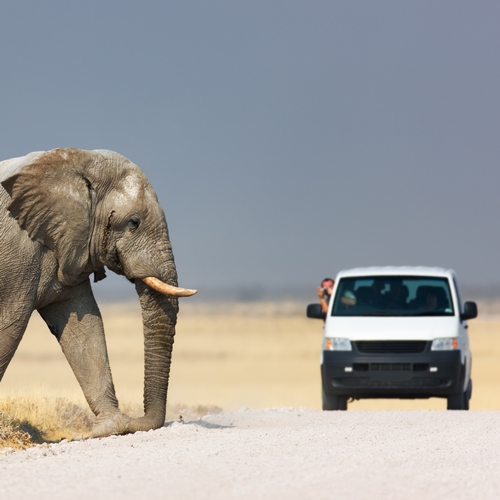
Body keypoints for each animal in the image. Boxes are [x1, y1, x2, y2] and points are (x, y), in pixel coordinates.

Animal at [0, 146, 195, 436]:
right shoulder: (19, 252)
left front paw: (110, 427)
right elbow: (10, 327)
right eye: (133, 222)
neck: (77, 161)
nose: (135, 421)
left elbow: (84, 327)